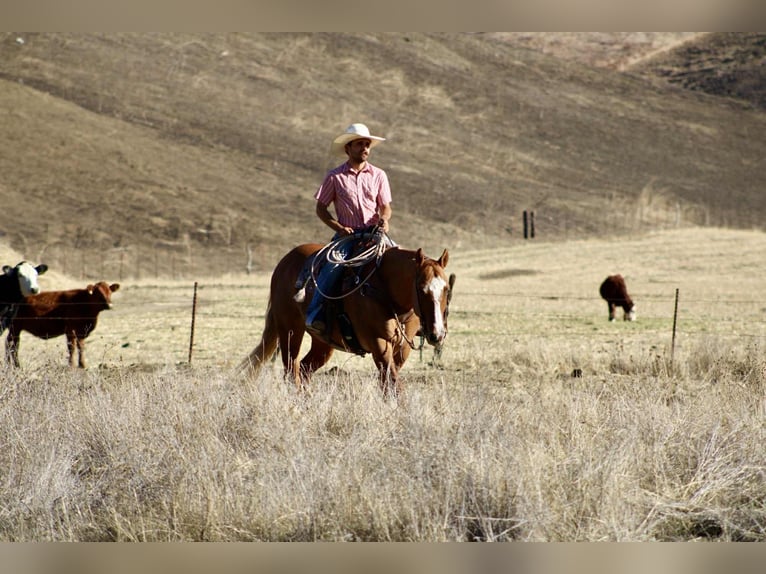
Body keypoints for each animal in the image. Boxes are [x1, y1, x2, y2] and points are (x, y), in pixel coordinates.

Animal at [240, 241, 451, 397]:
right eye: (421, 288)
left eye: (446, 288)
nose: (437, 334)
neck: (385, 290)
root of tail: (284, 262)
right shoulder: (379, 343)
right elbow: (393, 384)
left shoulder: (402, 349)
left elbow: (388, 382)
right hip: (290, 330)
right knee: (292, 370)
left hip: (323, 344)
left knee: (305, 369)